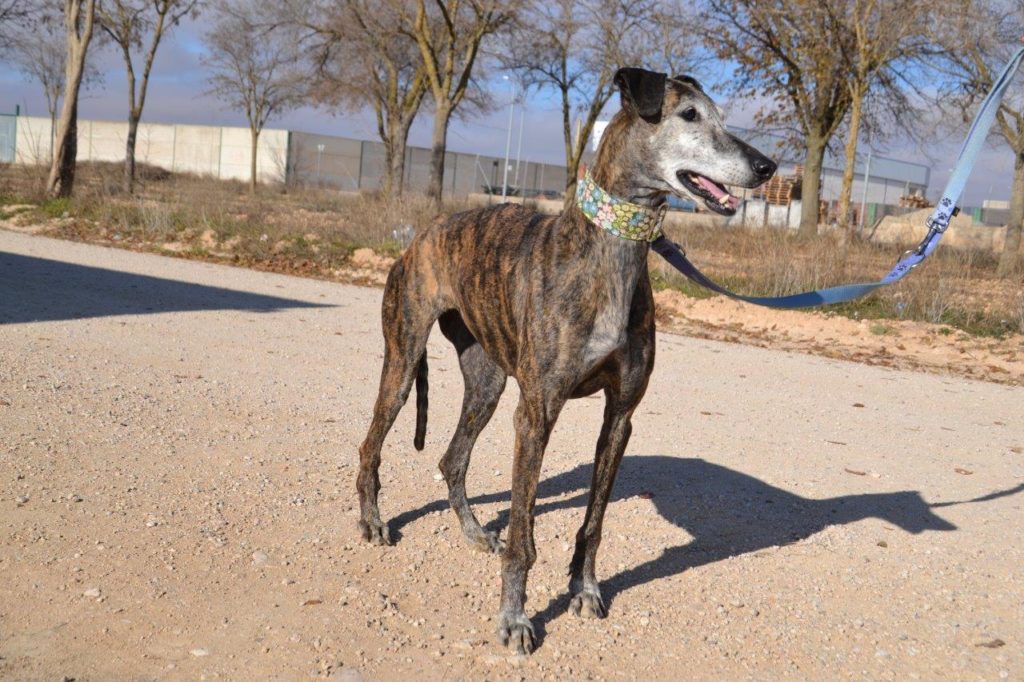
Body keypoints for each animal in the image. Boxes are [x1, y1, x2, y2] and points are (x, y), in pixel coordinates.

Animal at [358, 66, 774, 651]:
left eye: (721, 117)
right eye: (689, 115)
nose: (767, 167)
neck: (611, 254)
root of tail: (423, 234)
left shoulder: (620, 416)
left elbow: (594, 522)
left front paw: (584, 589)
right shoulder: (536, 414)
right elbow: (523, 534)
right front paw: (514, 617)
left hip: (486, 385)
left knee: (452, 460)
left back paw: (474, 532)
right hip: (402, 360)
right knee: (371, 445)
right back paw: (373, 521)